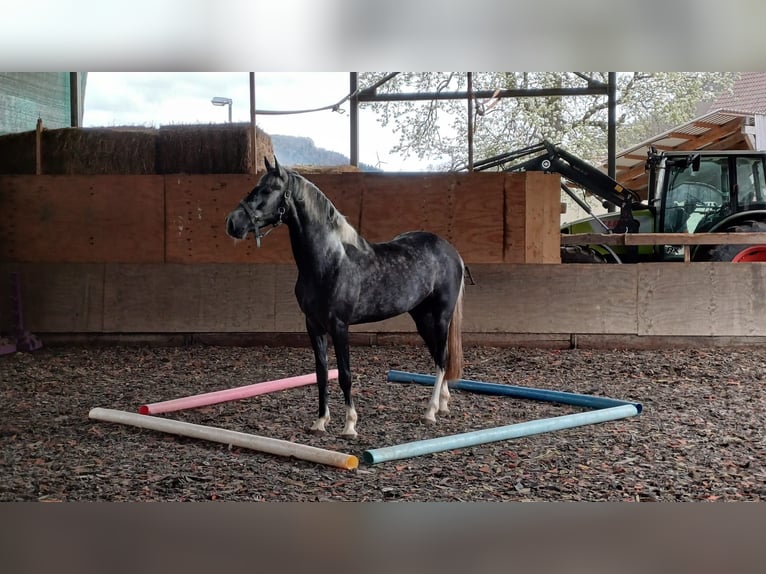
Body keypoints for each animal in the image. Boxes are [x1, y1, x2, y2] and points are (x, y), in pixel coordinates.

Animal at [226, 158, 468, 436]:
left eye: (268, 190)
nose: (232, 223)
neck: (329, 261)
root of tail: (451, 251)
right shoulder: (314, 326)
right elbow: (321, 373)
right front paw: (320, 421)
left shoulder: (339, 326)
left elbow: (344, 374)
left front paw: (350, 425)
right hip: (422, 318)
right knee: (441, 356)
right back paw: (443, 405)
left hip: (439, 317)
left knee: (441, 359)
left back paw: (430, 412)